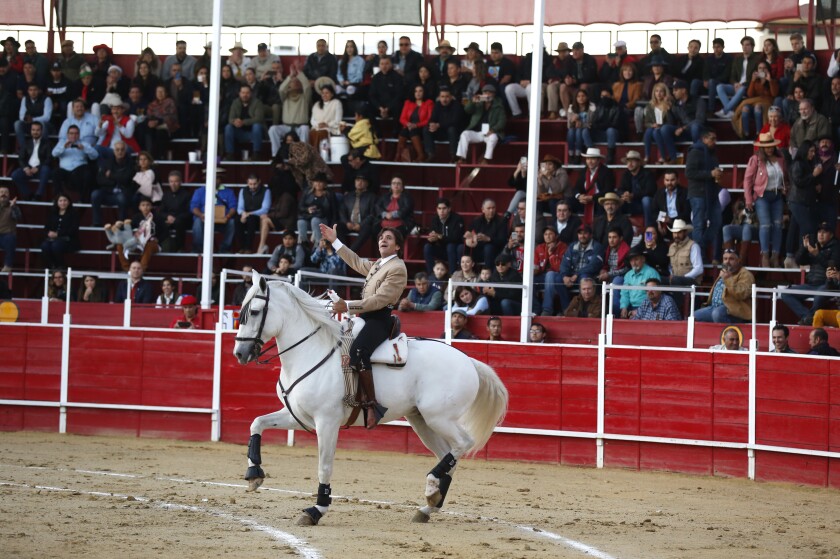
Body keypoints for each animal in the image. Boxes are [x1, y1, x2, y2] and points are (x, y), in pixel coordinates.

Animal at [231, 272, 506, 524]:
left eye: (254, 312)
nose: (240, 353)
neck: (311, 351)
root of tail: (468, 361)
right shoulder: (298, 415)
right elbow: (257, 423)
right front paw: (254, 474)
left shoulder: (327, 422)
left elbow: (324, 466)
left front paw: (317, 509)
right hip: (422, 421)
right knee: (448, 456)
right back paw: (429, 505)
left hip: (439, 418)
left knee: (463, 443)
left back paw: (430, 487)